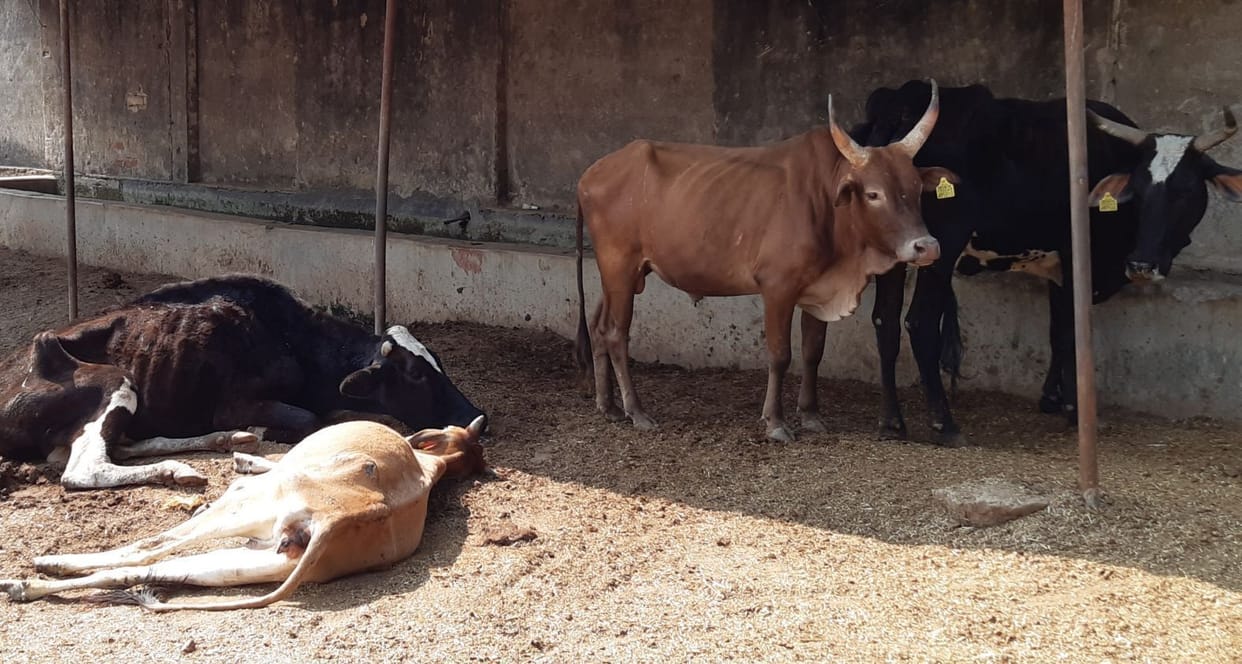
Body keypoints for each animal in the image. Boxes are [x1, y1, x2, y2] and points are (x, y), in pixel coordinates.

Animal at [0, 275, 486, 489]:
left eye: (438, 361)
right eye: (416, 373)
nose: (474, 414)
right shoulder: (235, 402)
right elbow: (307, 419)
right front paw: (265, 428)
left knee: (117, 446)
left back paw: (220, 442)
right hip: (112, 379)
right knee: (83, 468)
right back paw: (183, 466)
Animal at [0, 417, 488, 610]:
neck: (432, 464)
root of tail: (340, 519)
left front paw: (243, 456)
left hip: (244, 506)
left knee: (149, 549)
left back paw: (47, 565)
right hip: (253, 561)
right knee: (151, 569)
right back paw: (27, 584)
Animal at [574, 80, 958, 442]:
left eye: (916, 188)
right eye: (874, 193)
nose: (926, 246)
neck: (827, 204)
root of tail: (592, 173)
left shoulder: (818, 288)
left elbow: (812, 351)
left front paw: (811, 415)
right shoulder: (777, 287)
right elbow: (780, 354)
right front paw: (776, 422)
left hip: (622, 275)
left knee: (598, 326)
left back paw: (608, 406)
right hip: (620, 268)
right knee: (616, 333)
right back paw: (636, 411)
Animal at [845, 80, 1242, 445]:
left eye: (1185, 191)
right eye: (1140, 190)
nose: (1142, 264)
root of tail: (899, 105)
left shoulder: (1058, 268)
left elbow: (1057, 329)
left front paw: (1053, 396)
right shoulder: (1078, 259)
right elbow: (1071, 330)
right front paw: (1075, 409)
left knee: (885, 323)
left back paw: (892, 423)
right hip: (941, 251)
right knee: (920, 323)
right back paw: (945, 425)